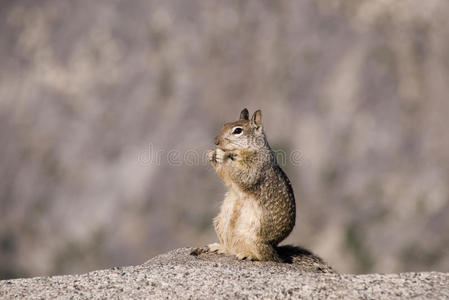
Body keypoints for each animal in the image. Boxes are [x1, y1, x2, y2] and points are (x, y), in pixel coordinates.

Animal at [191, 108, 296, 262]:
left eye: (238, 130)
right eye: (224, 124)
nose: (215, 141)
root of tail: (275, 251)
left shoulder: (255, 166)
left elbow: (243, 175)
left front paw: (221, 155)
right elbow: (227, 177)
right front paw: (211, 154)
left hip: (253, 238)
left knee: (265, 256)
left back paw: (248, 255)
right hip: (220, 224)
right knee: (230, 248)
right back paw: (220, 247)